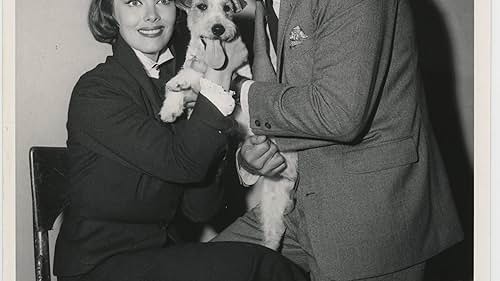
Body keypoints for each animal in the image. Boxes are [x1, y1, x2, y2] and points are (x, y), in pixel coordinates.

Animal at [160, 0, 298, 249]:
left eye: (227, 8)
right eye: (202, 6)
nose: (218, 28)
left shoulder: (233, 82)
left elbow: (201, 78)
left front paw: (180, 82)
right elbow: (184, 80)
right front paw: (170, 108)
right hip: (274, 195)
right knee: (274, 230)